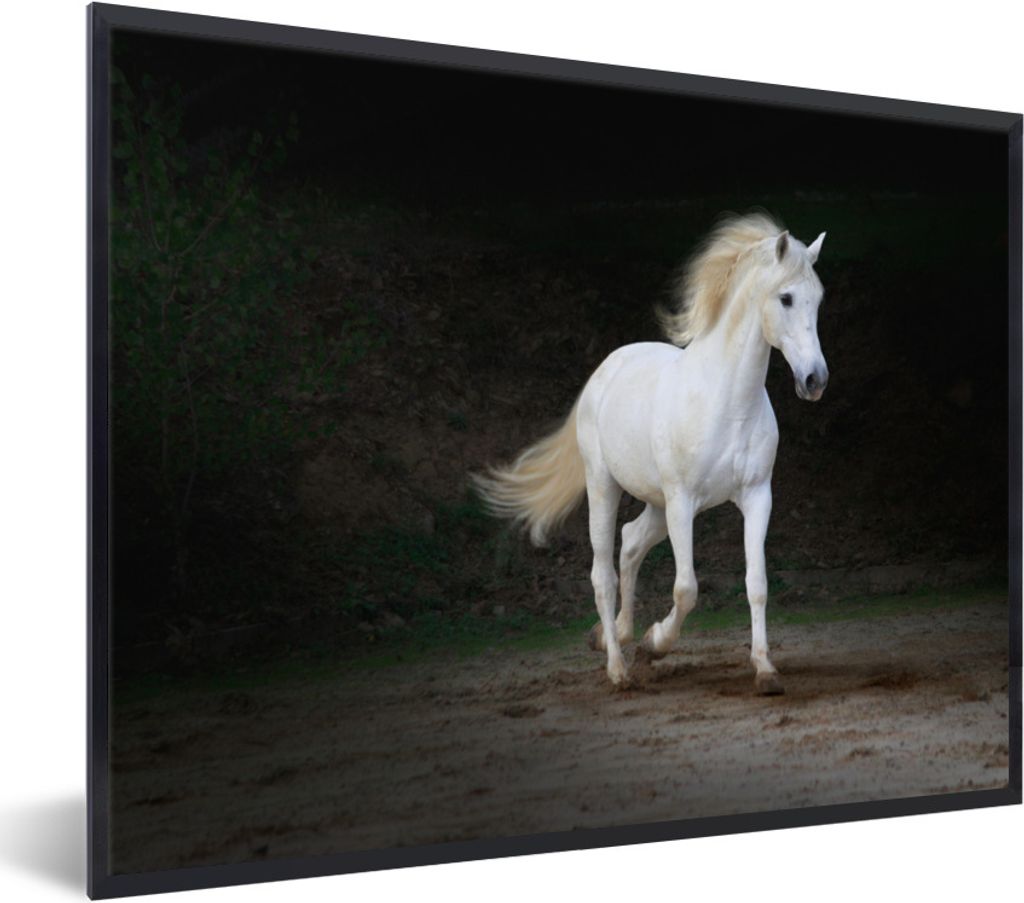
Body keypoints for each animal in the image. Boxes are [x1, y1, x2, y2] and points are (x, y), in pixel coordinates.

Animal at [473, 212, 828, 694]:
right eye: (786, 298)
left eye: (819, 299)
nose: (815, 380)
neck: (726, 401)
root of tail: (606, 369)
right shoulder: (683, 503)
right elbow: (686, 588)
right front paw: (655, 643)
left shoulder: (757, 497)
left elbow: (757, 583)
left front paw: (765, 670)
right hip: (605, 487)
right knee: (602, 572)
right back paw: (619, 668)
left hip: (656, 506)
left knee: (629, 543)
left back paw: (616, 635)